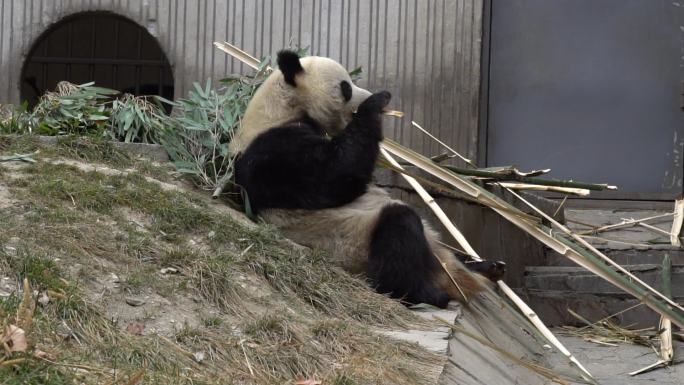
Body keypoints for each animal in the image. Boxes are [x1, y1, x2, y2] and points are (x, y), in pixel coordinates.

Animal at [230, 49, 502, 308]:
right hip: (356, 244)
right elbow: (334, 175)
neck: (281, 107)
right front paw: (375, 104)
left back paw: (488, 266)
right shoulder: (273, 151)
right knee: (398, 232)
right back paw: (425, 293)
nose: (377, 93)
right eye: (346, 87)